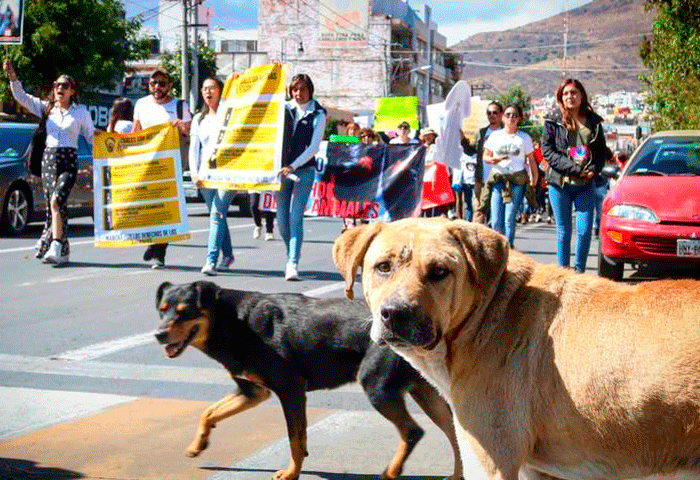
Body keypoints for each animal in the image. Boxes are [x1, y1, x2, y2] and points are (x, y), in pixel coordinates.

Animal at [154, 282, 460, 480]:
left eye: (183, 311)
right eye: (162, 309)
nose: (158, 334)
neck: (234, 322)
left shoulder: (290, 389)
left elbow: (294, 438)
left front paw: (291, 473)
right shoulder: (253, 391)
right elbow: (208, 412)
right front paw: (197, 445)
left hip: (377, 387)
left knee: (412, 432)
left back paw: (391, 471)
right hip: (425, 392)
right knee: (455, 434)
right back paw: (456, 475)